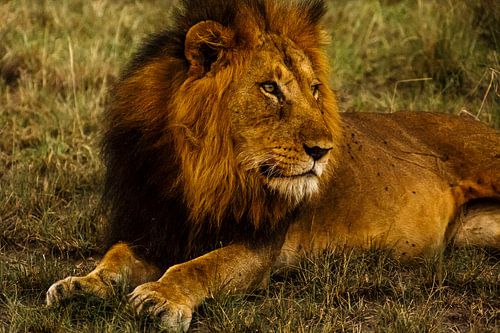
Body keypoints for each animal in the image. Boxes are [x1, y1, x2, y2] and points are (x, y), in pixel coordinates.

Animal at [45, 0, 498, 330]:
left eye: (314, 89)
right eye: (270, 88)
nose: (323, 150)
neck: (199, 172)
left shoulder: (259, 246)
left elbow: (198, 267)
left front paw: (160, 298)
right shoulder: (152, 226)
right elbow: (115, 257)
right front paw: (79, 286)